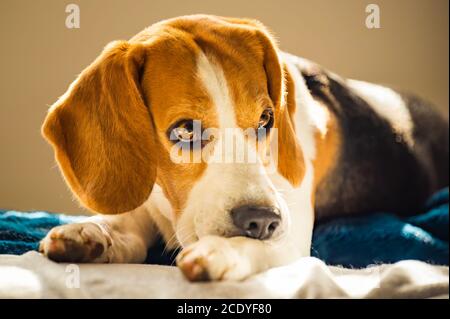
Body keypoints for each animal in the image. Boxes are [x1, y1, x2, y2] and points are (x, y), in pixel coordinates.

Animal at [38, 15, 446, 282]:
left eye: (266, 120)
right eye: (184, 130)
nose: (262, 220)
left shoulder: (291, 234)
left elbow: (266, 244)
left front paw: (224, 250)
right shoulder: (146, 204)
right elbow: (125, 223)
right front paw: (91, 232)